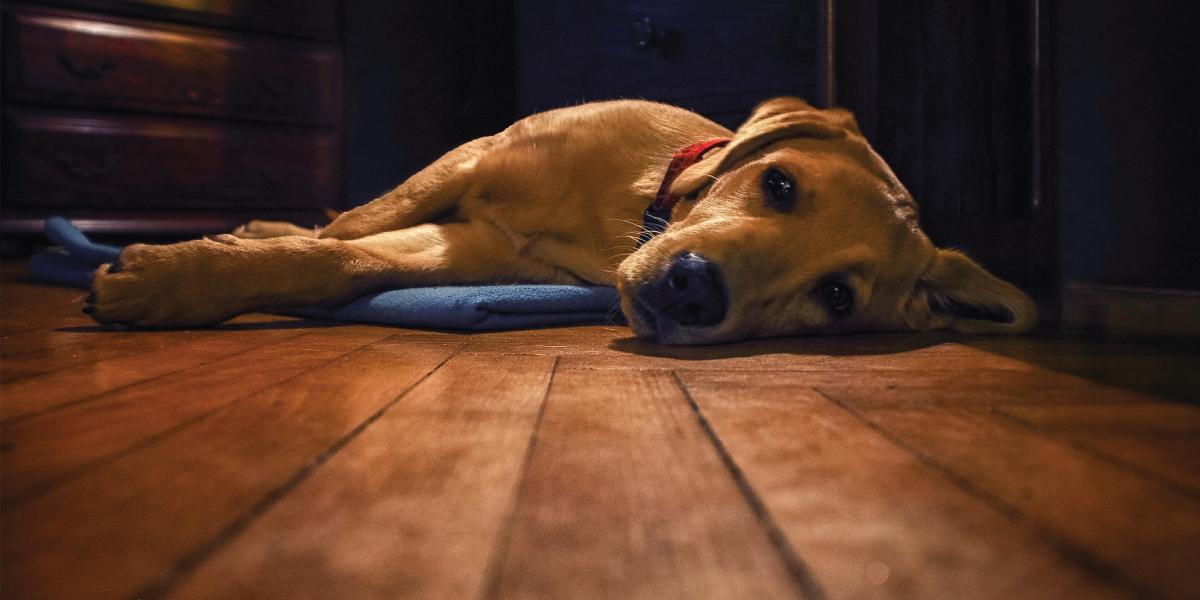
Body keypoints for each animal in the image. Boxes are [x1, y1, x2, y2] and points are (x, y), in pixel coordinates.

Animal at [84, 96, 1036, 345]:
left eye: (837, 297)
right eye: (779, 185)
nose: (693, 292)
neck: (623, 211)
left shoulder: (474, 248)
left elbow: (347, 259)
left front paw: (183, 276)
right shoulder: (473, 157)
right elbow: (342, 234)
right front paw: (197, 264)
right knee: (343, 215)